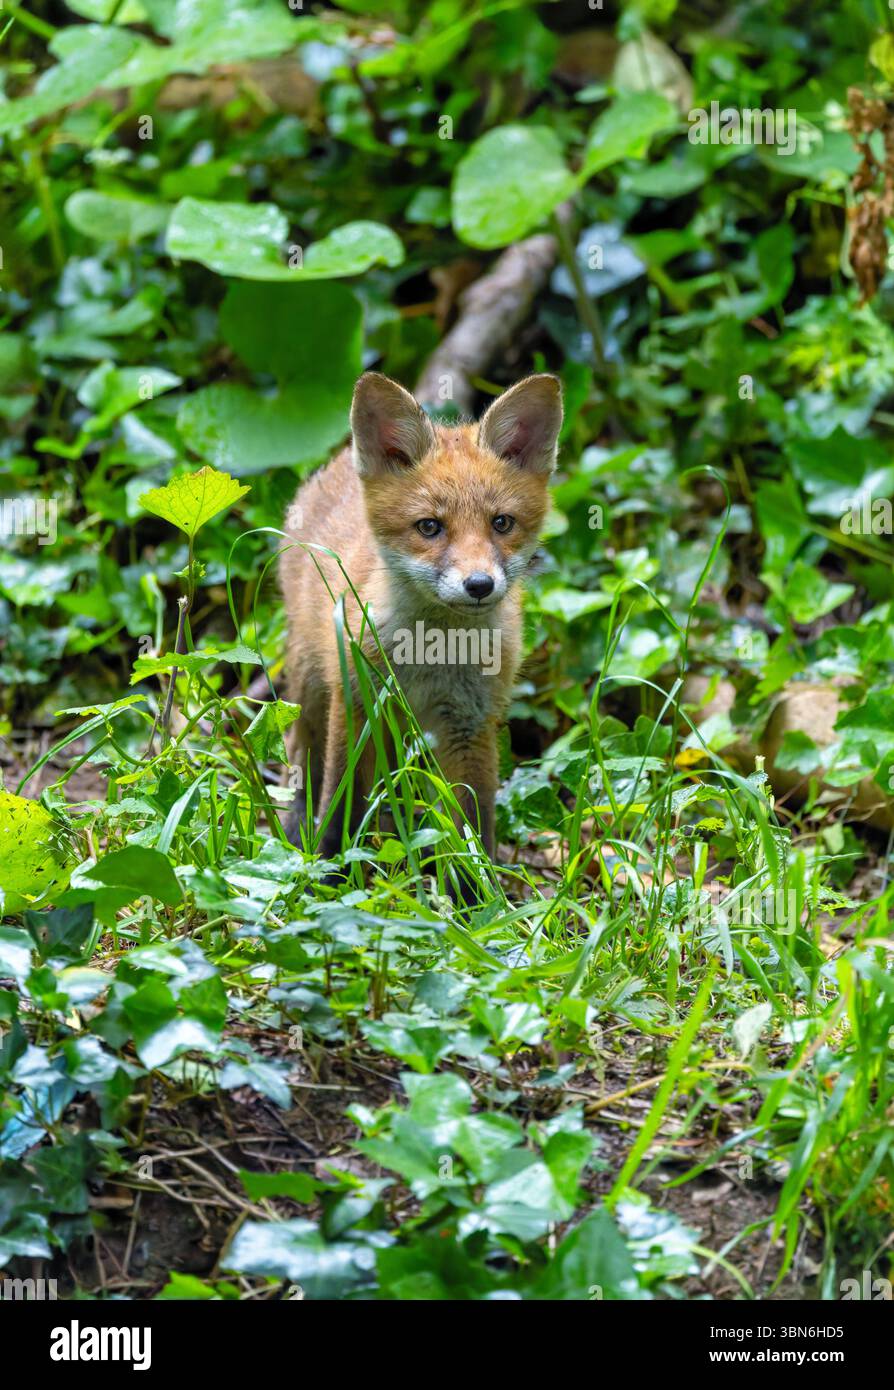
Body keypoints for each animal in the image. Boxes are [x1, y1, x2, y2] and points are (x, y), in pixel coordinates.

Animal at [279, 371, 563, 880]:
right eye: (430, 527)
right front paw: (329, 873)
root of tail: (337, 462)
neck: (430, 657)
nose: (479, 584)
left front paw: (475, 897)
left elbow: (472, 827)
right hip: (311, 682)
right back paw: (298, 828)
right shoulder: (357, 701)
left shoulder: (469, 723)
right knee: (303, 755)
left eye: (502, 523)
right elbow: (342, 800)